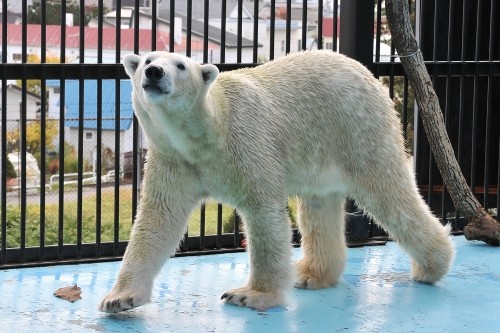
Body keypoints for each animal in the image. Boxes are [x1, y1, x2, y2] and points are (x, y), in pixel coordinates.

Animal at [99, 49, 456, 312]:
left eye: (180, 65)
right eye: (148, 59)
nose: (154, 73)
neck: (207, 133)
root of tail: (370, 75)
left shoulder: (247, 143)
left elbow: (264, 215)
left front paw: (250, 295)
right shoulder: (175, 159)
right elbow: (158, 220)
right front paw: (119, 299)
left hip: (357, 128)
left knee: (387, 191)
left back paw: (431, 267)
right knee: (319, 206)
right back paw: (311, 274)